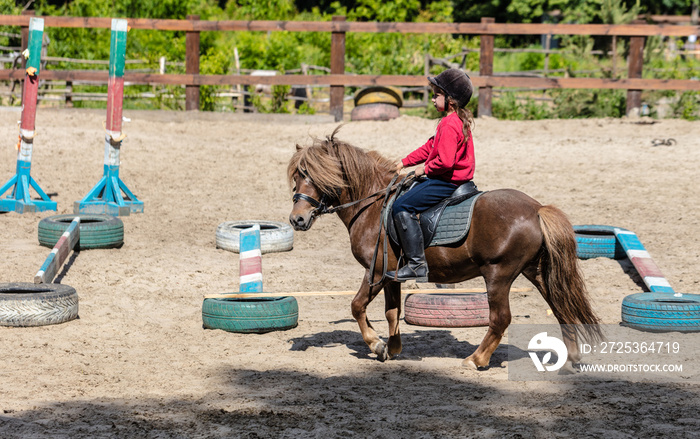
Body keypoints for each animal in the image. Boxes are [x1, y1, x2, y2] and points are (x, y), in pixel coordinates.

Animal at [288, 127, 600, 372]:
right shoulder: (391, 275)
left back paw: (476, 359)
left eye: (315, 175)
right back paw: (571, 358)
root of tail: (537, 208)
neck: (373, 206)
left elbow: (356, 305)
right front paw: (393, 347)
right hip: (535, 271)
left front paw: (376, 344)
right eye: (297, 178)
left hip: (498, 275)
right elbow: (392, 312)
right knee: (561, 308)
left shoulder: (375, 270)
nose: (297, 219)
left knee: (501, 319)